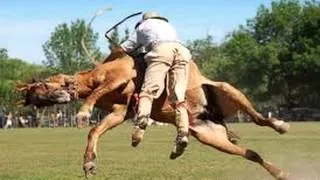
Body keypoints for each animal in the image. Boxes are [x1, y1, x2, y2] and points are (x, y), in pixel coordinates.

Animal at [16, 45, 292, 179]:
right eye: (35, 99)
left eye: (39, 86)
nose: (47, 101)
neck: (93, 77)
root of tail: (214, 117)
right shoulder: (119, 112)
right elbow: (95, 131)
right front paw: (89, 164)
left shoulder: (120, 77)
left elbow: (94, 103)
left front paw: (83, 112)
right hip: (211, 137)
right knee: (251, 153)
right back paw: (279, 172)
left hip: (228, 90)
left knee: (259, 119)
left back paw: (280, 126)